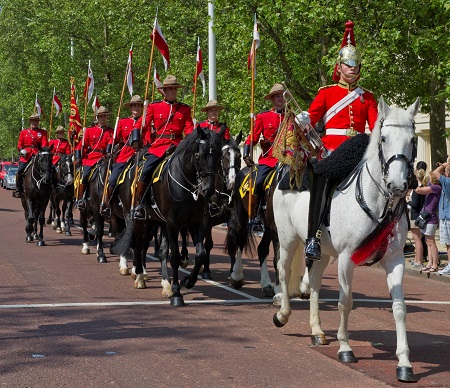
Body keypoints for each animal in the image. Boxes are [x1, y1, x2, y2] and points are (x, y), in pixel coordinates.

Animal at [111, 126, 227, 304]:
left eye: (219, 156)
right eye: (200, 155)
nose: (208, 190)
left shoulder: (196, 222)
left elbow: (199, 255)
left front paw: (187, 281)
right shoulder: (173, 223)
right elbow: (175, 257)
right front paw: (177, 292)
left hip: (159, 221)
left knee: (160, 250)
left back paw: (165, 284)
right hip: (138, 219)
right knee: (138, 245)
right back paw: (139, 276)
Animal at [272, 96, 420, 382]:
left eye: (413, 139)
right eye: (383, 138)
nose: (398, 185)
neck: (378, 202)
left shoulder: (395, 260)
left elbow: (399, 308)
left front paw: (405, 363)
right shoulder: (346, 258)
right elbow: (345, 301)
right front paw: (345, 348)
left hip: (321, 250)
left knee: (314, 282)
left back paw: (317, 331)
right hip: (288, 239)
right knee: (284, 271)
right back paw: (282, 314)